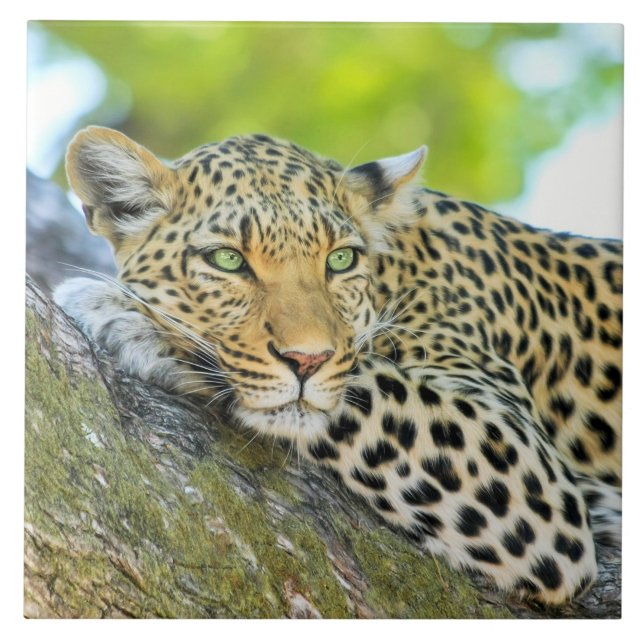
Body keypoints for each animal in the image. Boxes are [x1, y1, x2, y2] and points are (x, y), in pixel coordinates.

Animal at [54, 126, 622, 606]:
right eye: (228, 260)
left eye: (341, 260)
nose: (307, 359)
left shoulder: (531, 473)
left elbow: (361, 384)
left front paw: (131, 318)